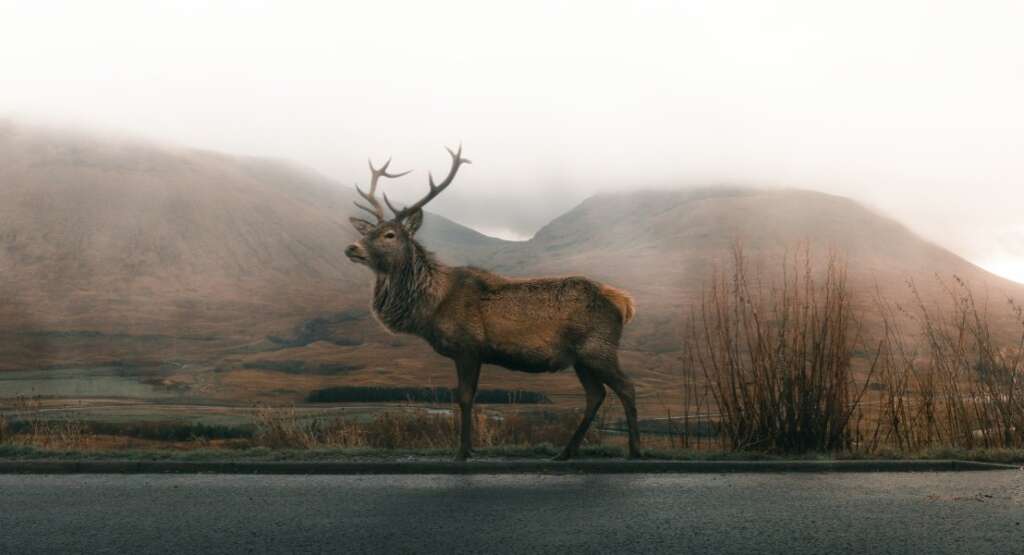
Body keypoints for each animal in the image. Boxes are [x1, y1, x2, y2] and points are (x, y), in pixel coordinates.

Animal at [344, 146, 638, 460]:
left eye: (390, 234)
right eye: (366, 232)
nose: (352, 248)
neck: (431, 307)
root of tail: (624, 303)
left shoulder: (468, 347)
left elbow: (464, 397)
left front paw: (462, 452)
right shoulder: (471, 353)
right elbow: (468, 397)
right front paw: (470, 448)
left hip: (598, 347)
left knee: (626, 387)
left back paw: (634, 449)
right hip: (580, 357)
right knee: (596, 395)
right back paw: (565, 452)